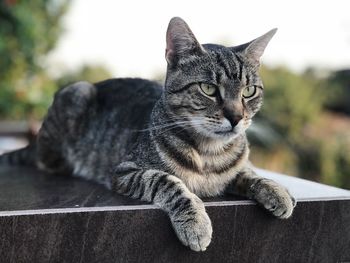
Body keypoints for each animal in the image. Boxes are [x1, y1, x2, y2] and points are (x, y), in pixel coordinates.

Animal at [0, 17, 296, 253]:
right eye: (209, 89)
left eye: (249, 91)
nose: (236, 118)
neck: (209, 152)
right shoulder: (125, 171)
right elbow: (168, 181)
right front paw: (196, 223)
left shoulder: (235, 169)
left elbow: (249, 172)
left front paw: (277, 191)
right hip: (75, 96)